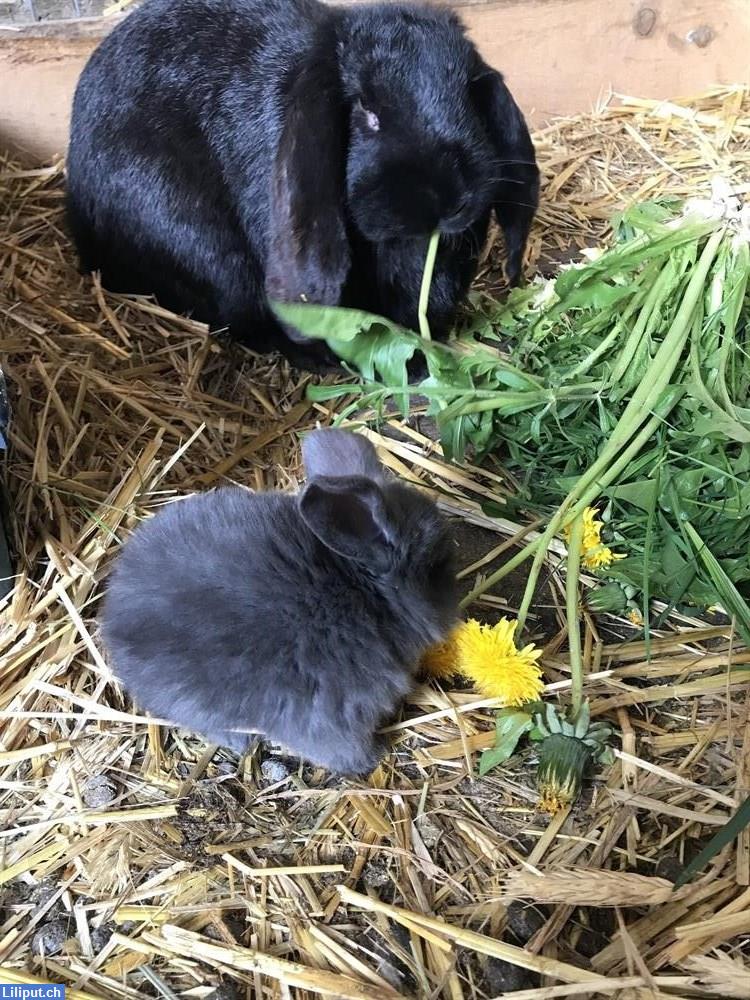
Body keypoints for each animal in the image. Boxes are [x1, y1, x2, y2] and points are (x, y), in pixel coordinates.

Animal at [100, 430, 458, 772]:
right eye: (436, 567)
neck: (363, 594)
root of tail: (113, 621)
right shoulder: (334, 715)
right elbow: (342, 751)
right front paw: (374, 757)